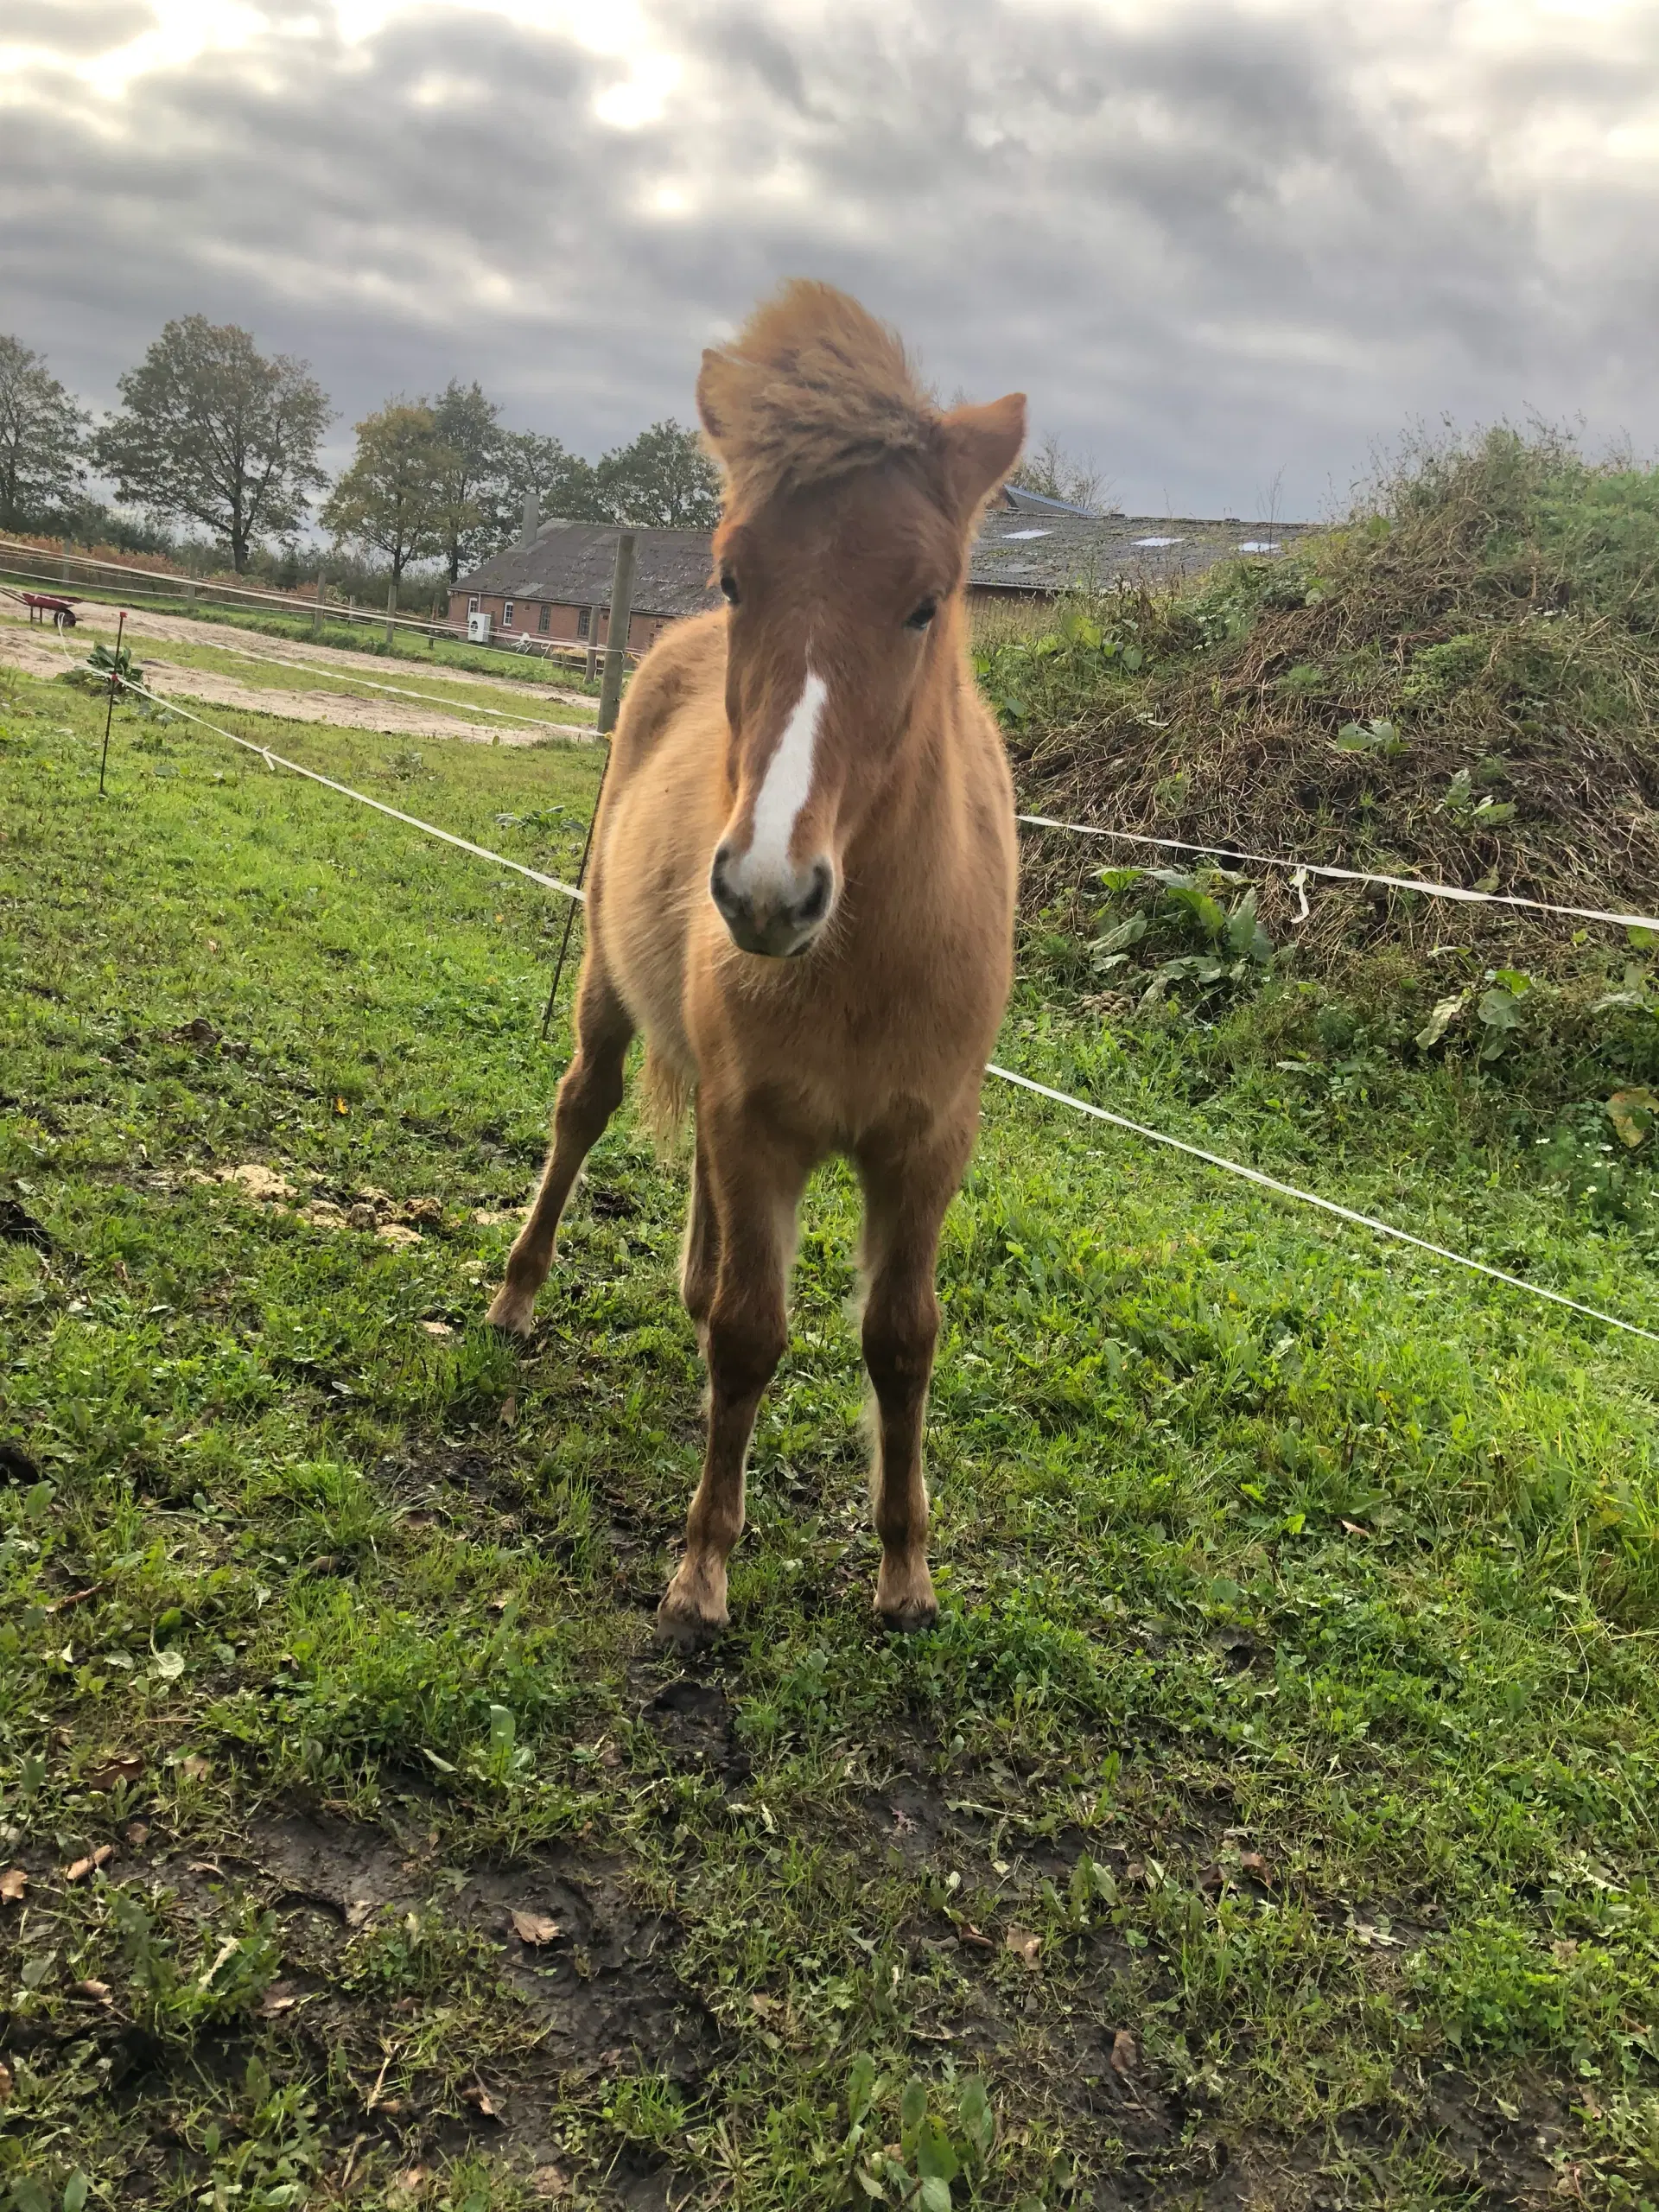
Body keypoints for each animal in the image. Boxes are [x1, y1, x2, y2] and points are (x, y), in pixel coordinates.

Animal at [486, 285, 1021, 1654]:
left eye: (925, 601)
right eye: (736, 575)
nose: (766, 890)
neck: (862, 959)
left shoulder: (925, 1145)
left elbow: (903, 1340)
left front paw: (905, 1574)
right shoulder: (758, 1121)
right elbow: (749, 1336)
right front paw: (702, 1573)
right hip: (609, 1002)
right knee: (583, 1115)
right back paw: (516, 1299)